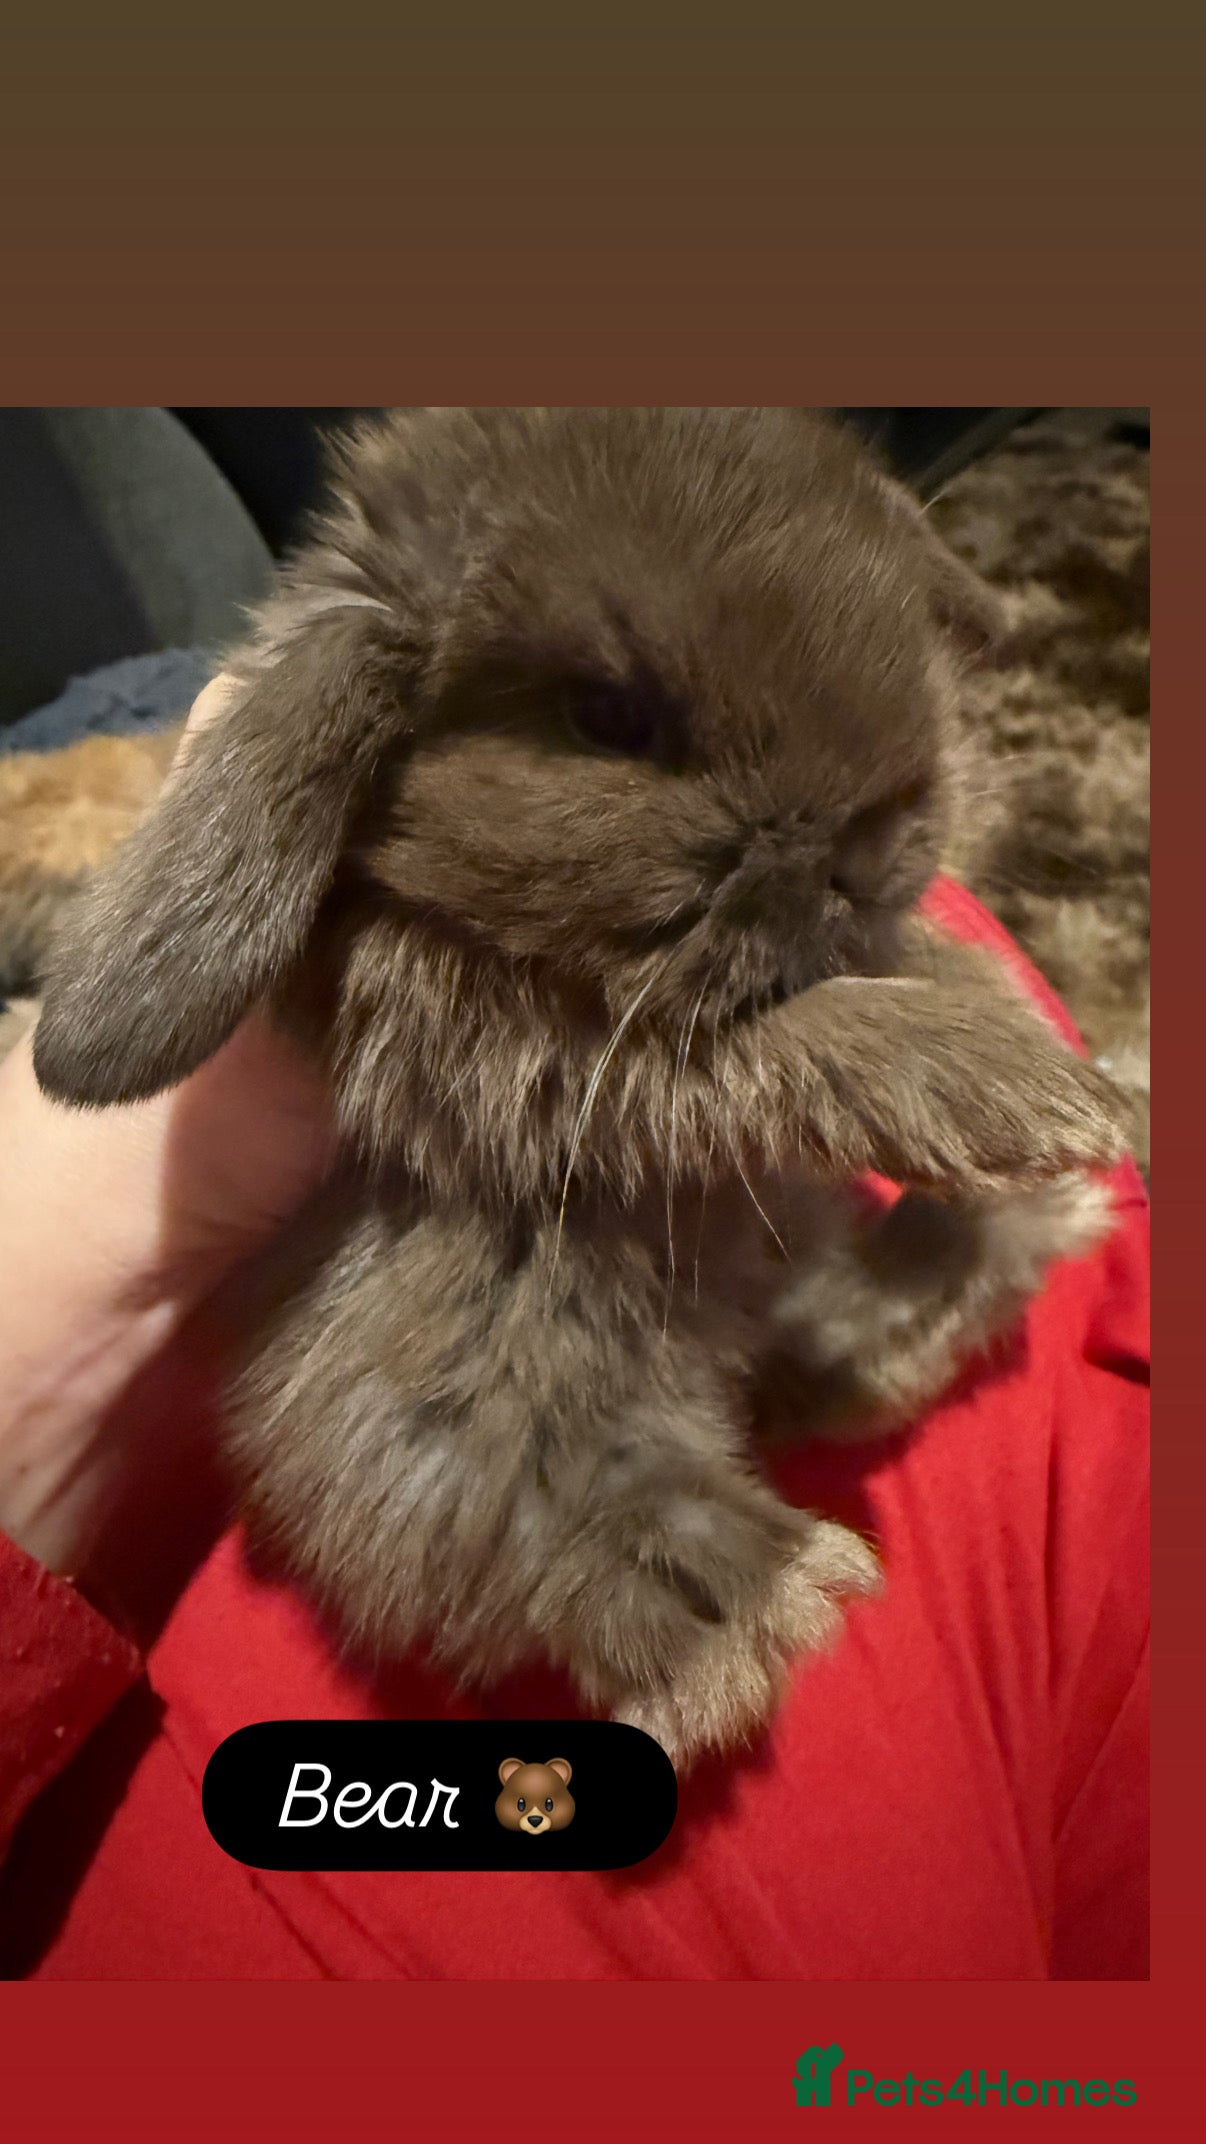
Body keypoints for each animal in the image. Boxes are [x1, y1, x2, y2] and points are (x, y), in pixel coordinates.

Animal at [31, 407, 1125, 1765]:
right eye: (608, 714)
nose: (874, 845)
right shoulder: (525, 1053)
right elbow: (768, 1044)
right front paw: (1020, 1083)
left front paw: (1011, 1029)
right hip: (489, 1366)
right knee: (531, 1509)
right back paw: (754, 1609)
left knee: (844, 1349)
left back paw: (1018, 1227)